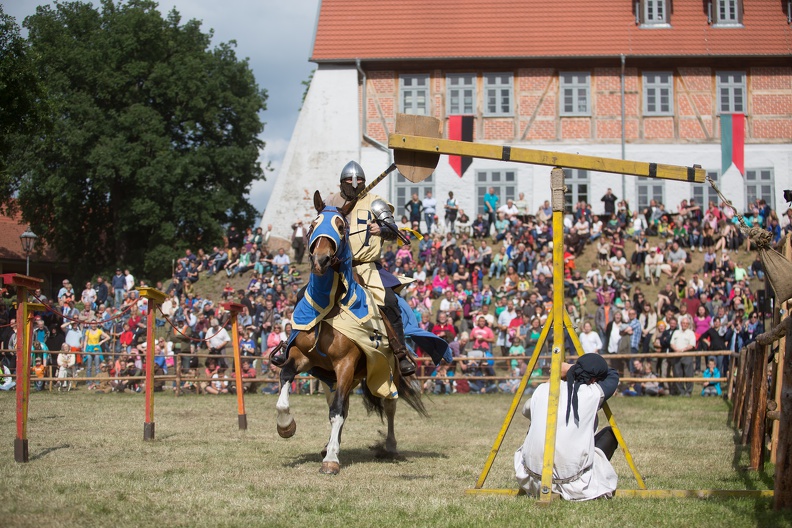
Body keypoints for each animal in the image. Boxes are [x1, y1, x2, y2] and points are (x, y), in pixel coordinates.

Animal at [276, 192, 424, 476]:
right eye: (313, 225)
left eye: (340, 226)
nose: (321, 260)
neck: (331, 305)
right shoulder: (302, 356)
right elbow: (286, 379)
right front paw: (286, 426)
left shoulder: (345, 363)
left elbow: (337, 411)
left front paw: (331, 460)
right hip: (337, 377)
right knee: (340, 403)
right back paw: (329, 444)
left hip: (387, 370)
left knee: (388, 405)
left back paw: (389, 446)